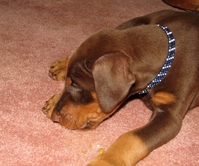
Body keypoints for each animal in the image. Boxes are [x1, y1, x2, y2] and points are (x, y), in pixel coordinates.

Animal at [42, 10, 199, 166]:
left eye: (75, 84)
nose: (55, 116)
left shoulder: (170, 115)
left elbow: (131, 137)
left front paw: (105, 161)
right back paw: (61, 66)